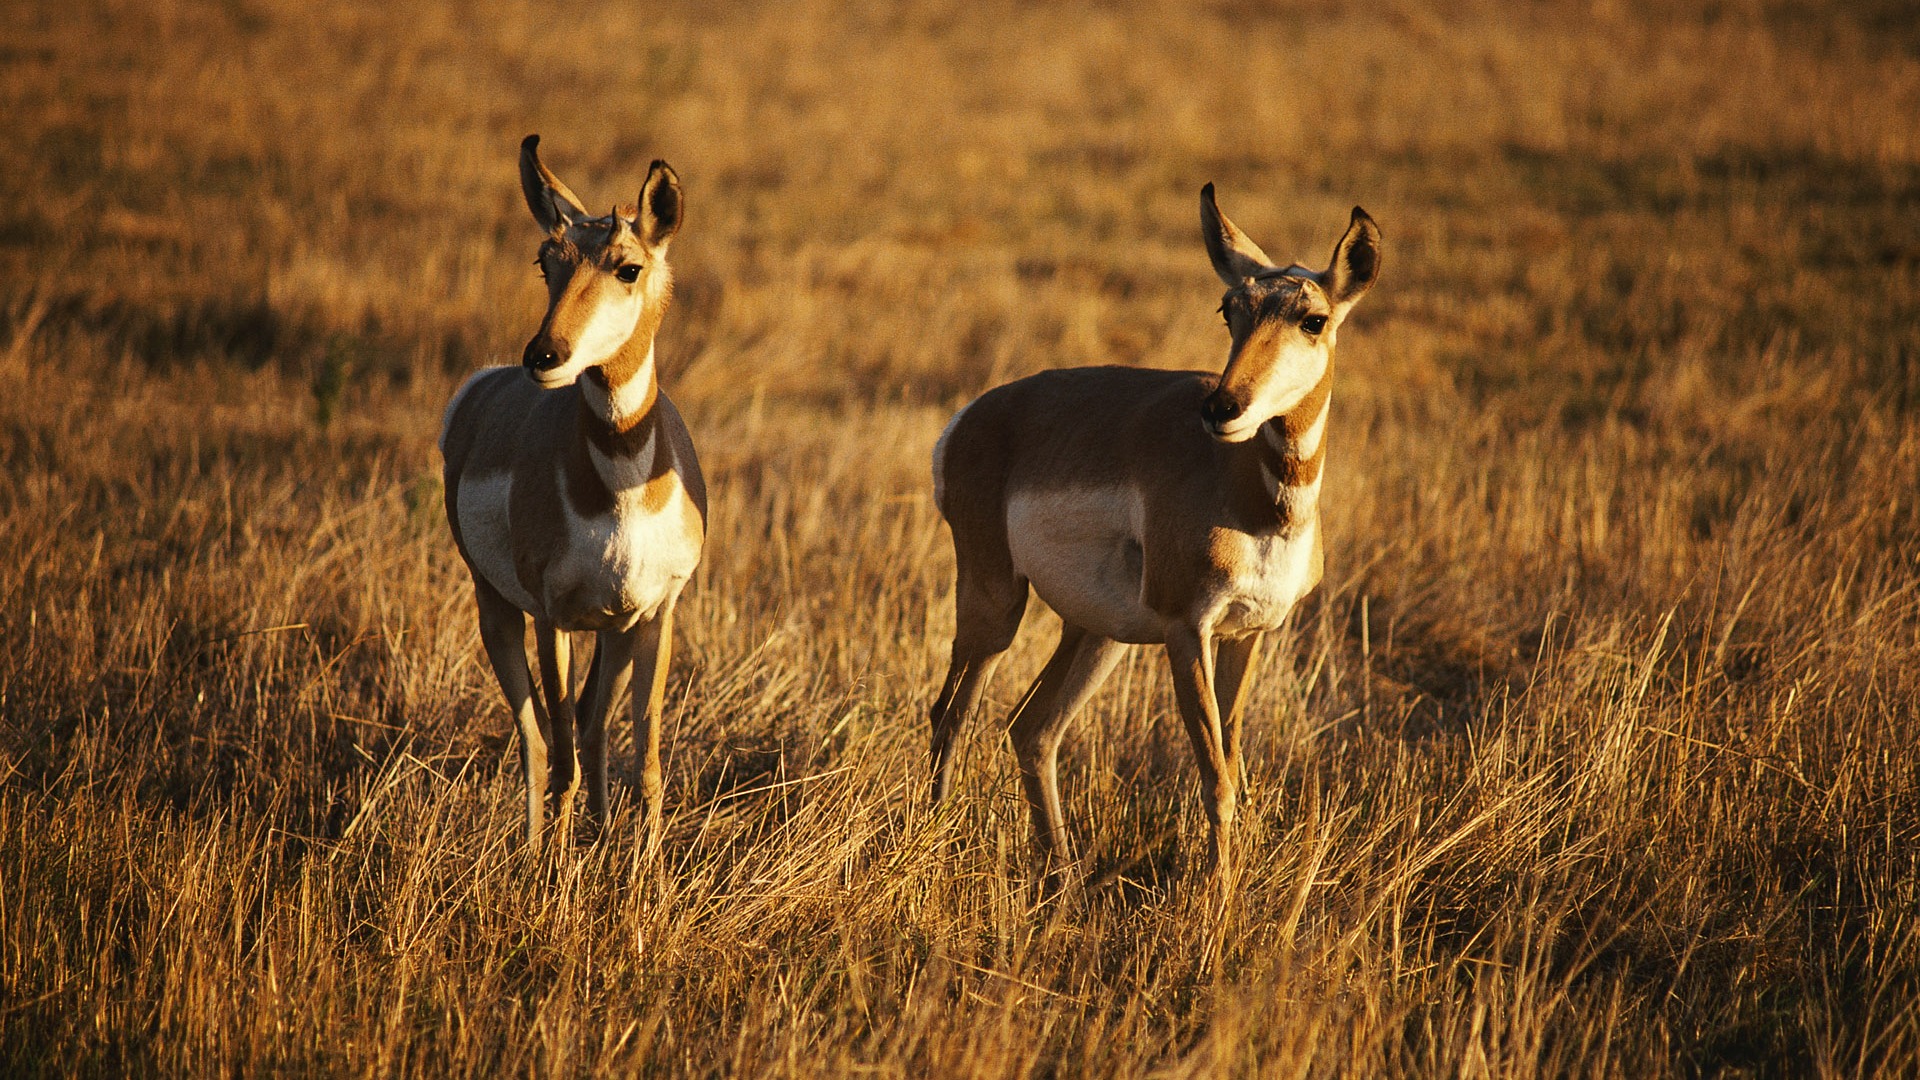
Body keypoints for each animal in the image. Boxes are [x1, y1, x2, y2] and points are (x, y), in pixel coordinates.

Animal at [439, 136, 706, 849]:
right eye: (545, 261)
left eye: (628, 267)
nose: (544, 356)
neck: (620, 494)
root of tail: (481, 388)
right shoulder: (551, 617)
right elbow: (560, 760)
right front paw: (554, 875)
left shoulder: (656, 615)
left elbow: (645, 764)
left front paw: (645, 873)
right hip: (497, 609)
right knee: (539, 742)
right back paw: (536, 853)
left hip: (614, 632)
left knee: (589, 727)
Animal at [929, 184, 1382, 880]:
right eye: (1229, 308)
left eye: (1313, 318)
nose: (1222, 407)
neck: (1251, 496)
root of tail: (973, 416)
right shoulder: (1186, 629)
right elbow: (1216, 780)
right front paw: (1218, 903)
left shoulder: (1248, 634)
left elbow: (1233, 765)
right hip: (996, 608)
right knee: (951, 715)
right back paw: (930, 847)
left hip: (1097, 635)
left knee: (1031, 729)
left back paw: (1066, 881)